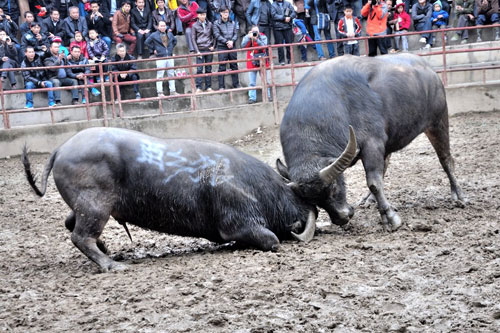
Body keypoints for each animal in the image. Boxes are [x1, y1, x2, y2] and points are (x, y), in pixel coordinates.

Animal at [22, 127, 316, 270]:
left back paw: (106, 250)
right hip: (95, 206)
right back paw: (112, 265)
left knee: (71, 223)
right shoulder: (239, 222)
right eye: (296, 198)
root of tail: (62, 148)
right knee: (80, 236)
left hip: (85, 206)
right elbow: (272, 240)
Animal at [278, 54, 464, 231]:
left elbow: (373, 182)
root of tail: (430, 71)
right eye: (313, 201)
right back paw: (369, 199)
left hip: (438, 121)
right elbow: (377, 178)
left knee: (446, 159)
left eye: (333, 187)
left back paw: (459, 196)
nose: (341, 218)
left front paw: (391, 219)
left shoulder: (372, 144)